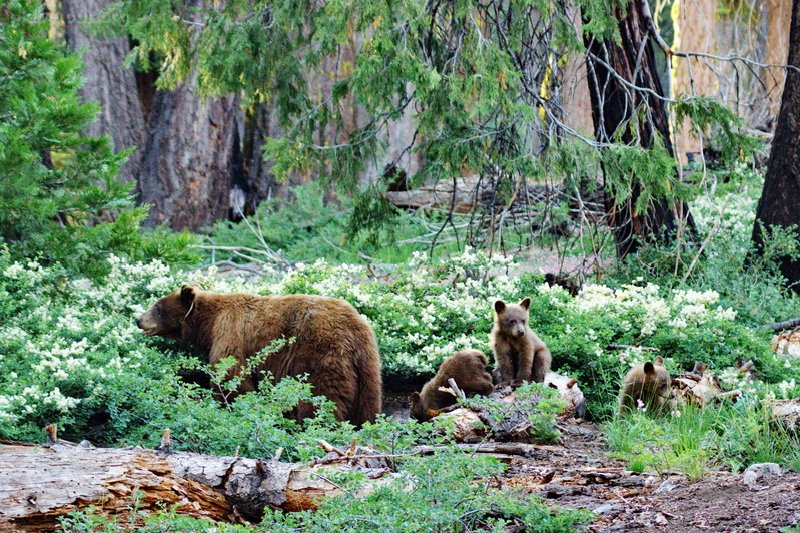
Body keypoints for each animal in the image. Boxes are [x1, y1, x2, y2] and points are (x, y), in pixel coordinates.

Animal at [138, 284, 384, 426]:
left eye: (157, 307)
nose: (138, 319)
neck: (209, 323)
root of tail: (353, 329)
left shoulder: (230, 332)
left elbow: (231, 375)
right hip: (368, 365)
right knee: (368, 406)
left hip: (321, 355)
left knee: (320, 398)